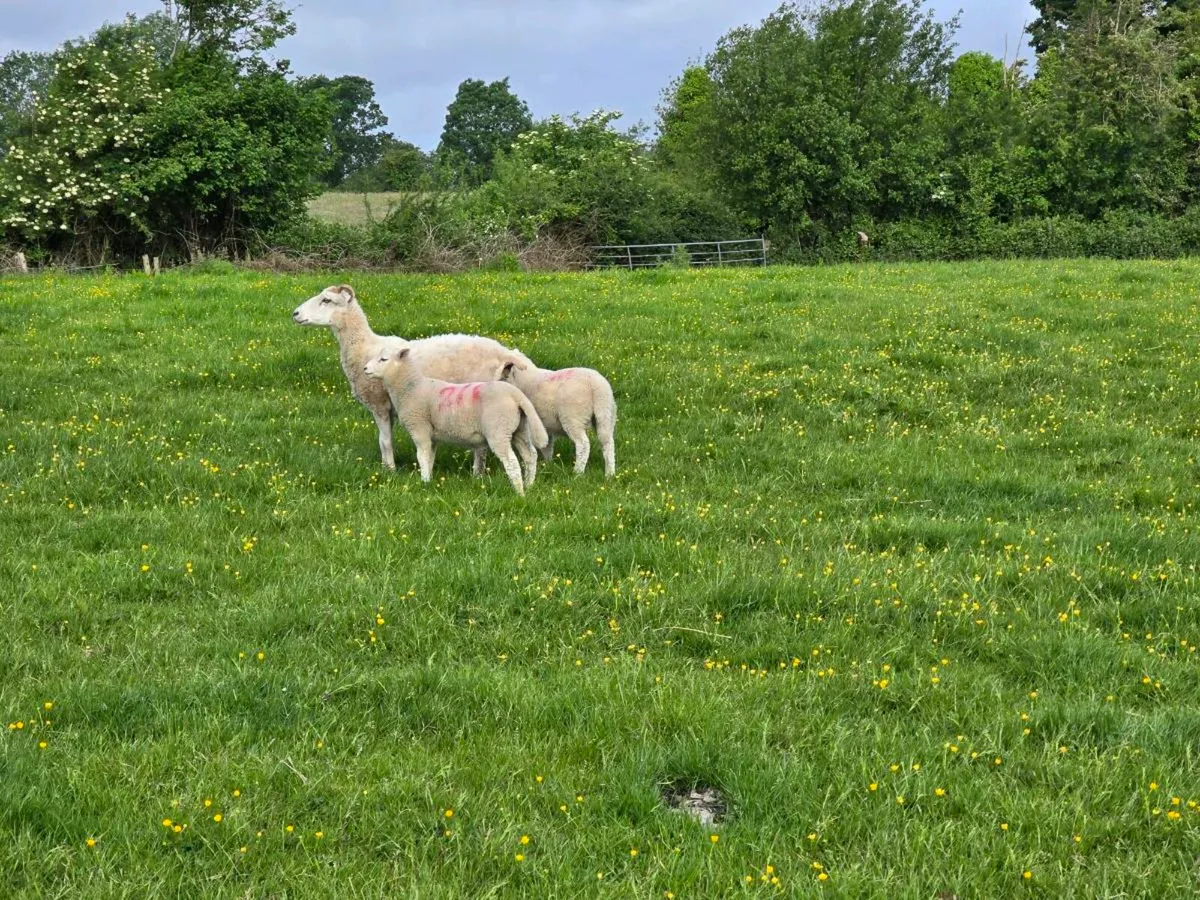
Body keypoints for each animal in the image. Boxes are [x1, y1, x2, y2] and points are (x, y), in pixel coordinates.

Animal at [292, 284, 533, 471]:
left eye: (327, 300)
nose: (295, 313)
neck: (364, 347)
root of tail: (505, 353)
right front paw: (387, 467)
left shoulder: (379, 403)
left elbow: (384, 441)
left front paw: (389, 471)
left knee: (482, 446)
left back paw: (477, 474)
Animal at [363, 347, 549, 495]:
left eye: (383, 359)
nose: (365, 368)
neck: (410, 388)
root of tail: (517, 396)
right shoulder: (432, 435)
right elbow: (430, 457)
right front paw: (429, 480)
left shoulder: (420, 428)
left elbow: (421, 456)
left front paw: (424, 481)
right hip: (520, 428)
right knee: (530, 455)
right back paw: (529, 485)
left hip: (498, 430)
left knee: (511, 462)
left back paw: (519, 492)